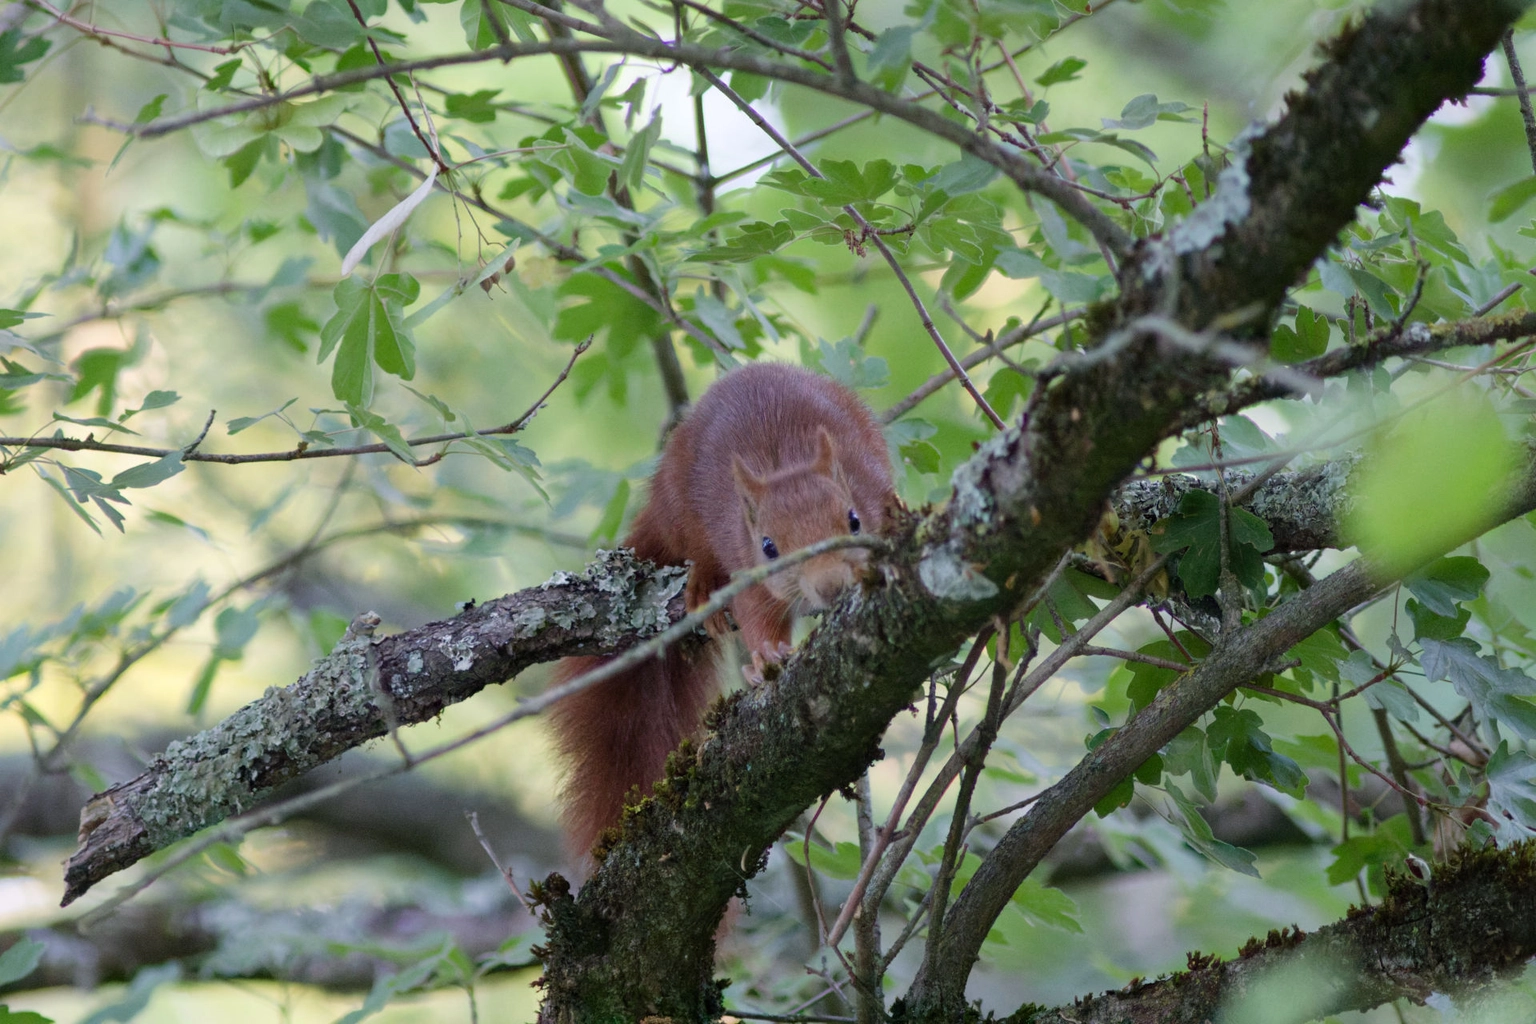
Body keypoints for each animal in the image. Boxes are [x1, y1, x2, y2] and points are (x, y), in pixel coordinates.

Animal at [547, 362, 897, 857]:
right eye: (769, 547)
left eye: (853, 520)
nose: (830, 587)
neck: (785, 462)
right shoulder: (748, 568)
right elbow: (756, 614)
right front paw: (765, 659)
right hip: (678, 507)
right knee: (692, 547)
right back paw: (702, 590)